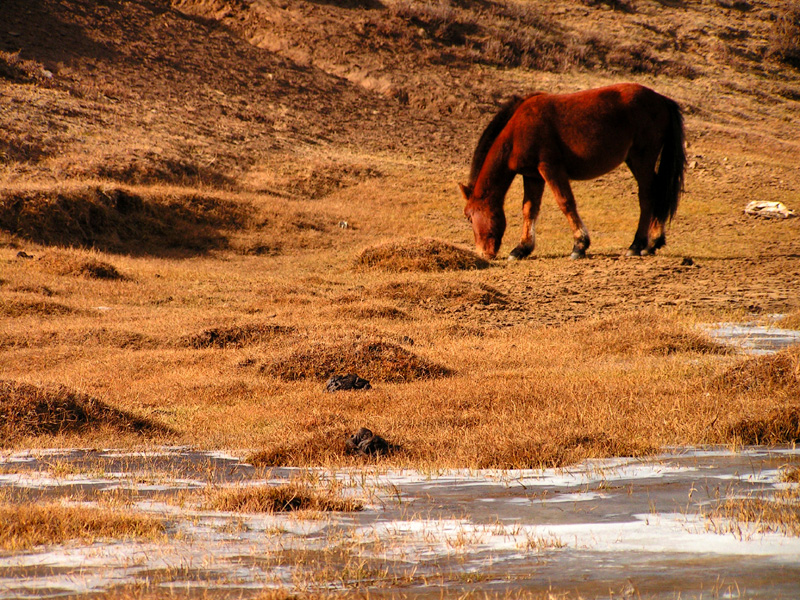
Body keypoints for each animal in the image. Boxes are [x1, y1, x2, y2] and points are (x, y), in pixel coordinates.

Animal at [460, 84, 684, 260]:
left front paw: (579, 245)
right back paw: (652, 242)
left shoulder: (550, 168)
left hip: (642, 159)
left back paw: (637, 245)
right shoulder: (533, 176)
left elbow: (565, 203)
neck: (517, 130)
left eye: (469, 217)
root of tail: (661, 99)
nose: (483, 253)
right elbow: (529, 210)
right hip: (635, 160)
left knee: (648, 196)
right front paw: (522, 249)